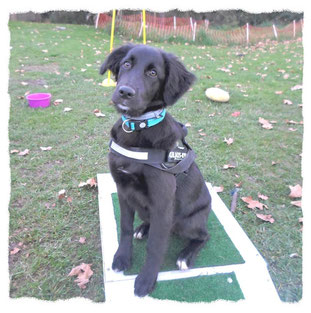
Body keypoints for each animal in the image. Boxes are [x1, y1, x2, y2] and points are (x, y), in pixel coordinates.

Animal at [100, 44, 212, 294]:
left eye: (153, 73)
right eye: (126, 64)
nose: (125, 92)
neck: (137, 129)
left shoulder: (162, 202)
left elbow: (156, 246)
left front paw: (146, 279)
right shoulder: (123, 190)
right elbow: (125, 227)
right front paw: (122, 257)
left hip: (186, 222)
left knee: (204, 235)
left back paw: (186, 255)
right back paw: (143, 227)